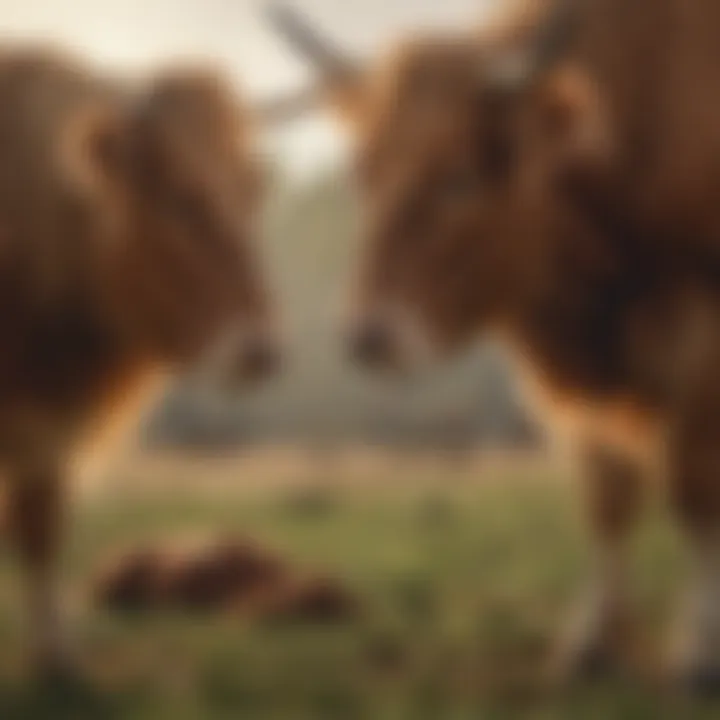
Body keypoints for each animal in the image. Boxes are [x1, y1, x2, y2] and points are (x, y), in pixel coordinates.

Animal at [0, 47, 282, 676]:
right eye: (180, 198)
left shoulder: (46, 426)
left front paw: (56, 656)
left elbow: (40, 523)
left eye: (250, 194)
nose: (260, 351)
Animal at [266, 0, 720, 692]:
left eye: (458, 178)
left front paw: (698, 647)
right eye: (364, 174)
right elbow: (605, 496)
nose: (368, 336)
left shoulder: (698, 339)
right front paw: (590, 642)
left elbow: (694, 487)